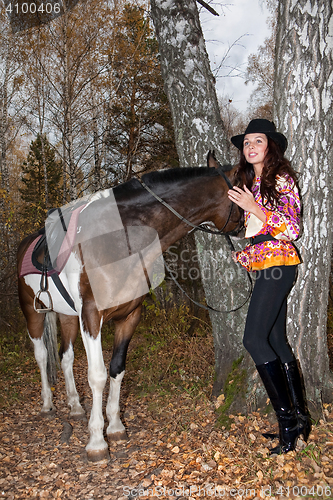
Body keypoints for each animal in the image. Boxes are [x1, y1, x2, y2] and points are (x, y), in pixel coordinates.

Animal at [17, 152, 241, 460]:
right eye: (248, 189)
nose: (250, 226)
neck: (119, 241)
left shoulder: (129, 316)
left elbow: (117, 369)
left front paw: (115, 427)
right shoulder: (92, 316)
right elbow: (98, 375)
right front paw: (97, 441)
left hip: (67, 316)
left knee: (65, 357)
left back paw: (74, 406)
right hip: (32, 311)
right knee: (41, 355)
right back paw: (48, 403)